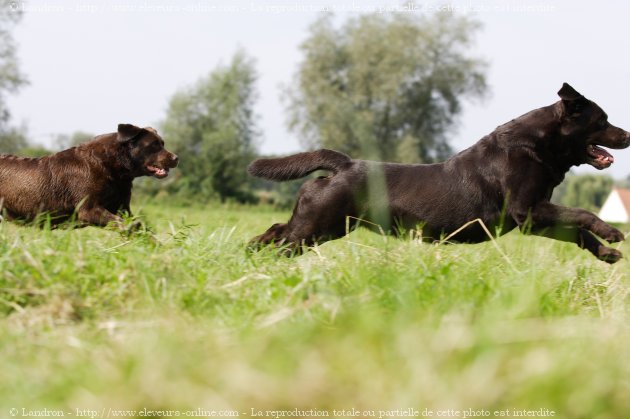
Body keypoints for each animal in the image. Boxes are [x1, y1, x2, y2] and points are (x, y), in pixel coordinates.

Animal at [0, 124, 179, 228]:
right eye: (154, 145)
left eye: (162, 143)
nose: (176, 158)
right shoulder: (89, 209)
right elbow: (120, 222)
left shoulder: (123, 208)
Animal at [249, 83, 630, 262]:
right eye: (602, 120)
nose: (627, 135)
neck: (536, 146)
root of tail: (344, 163)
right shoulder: (528, 211)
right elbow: (581, 213)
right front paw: (612, 232)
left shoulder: (533, 219)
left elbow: (576, 231)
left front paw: (607, 254)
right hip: (318, 225)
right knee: (283, 239)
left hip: (323, 225)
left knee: (276, 229)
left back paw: (250, 251)